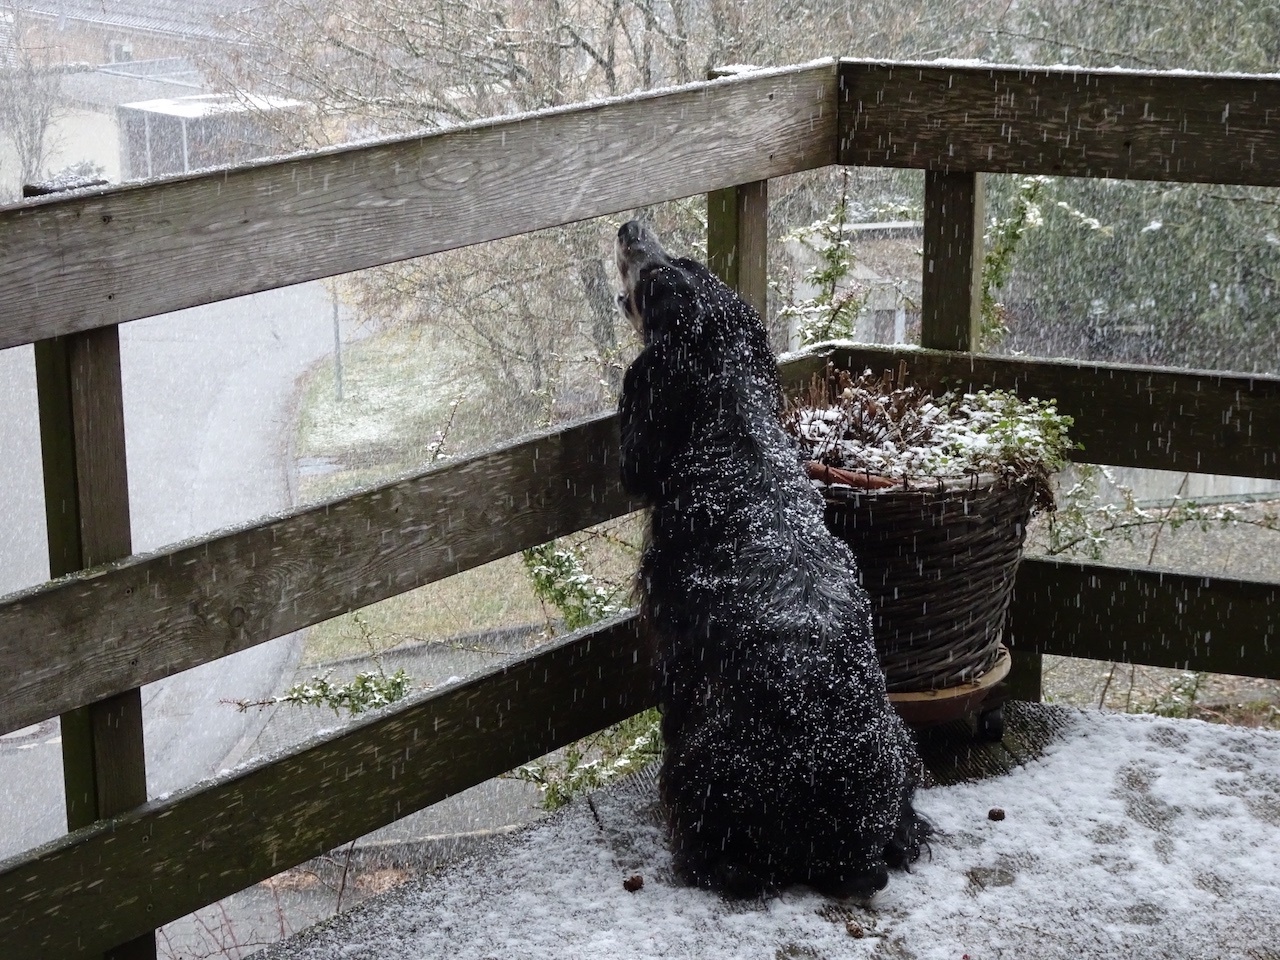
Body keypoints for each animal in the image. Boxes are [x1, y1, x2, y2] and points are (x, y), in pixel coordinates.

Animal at [615, 220, 930, 898]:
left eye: (657, 280)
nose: (631, 229)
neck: (733, 426)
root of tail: (855, 832)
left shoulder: (675, 647)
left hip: (705, 771)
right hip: (903, 742)